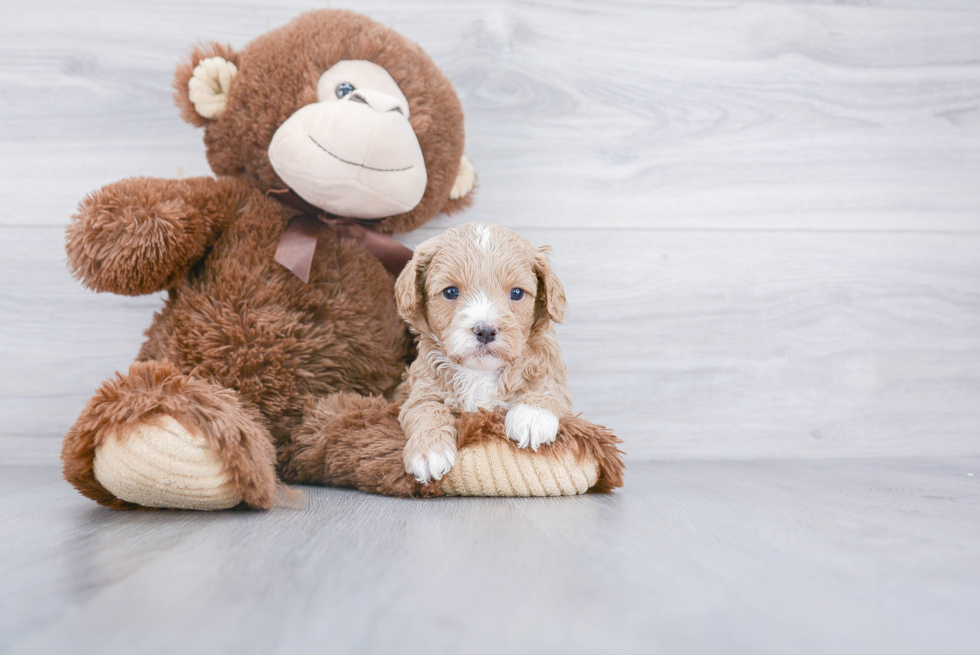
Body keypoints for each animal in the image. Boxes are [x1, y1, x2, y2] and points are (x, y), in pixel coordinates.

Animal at [392, 223, 572, 484]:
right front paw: (429, 451)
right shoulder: (420, 390)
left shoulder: (554, 378)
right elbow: (426, 410)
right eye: (450, 292)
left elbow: (549, 390)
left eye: (517, 293)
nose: (485, 331)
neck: (480, 372)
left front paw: (532, 415)